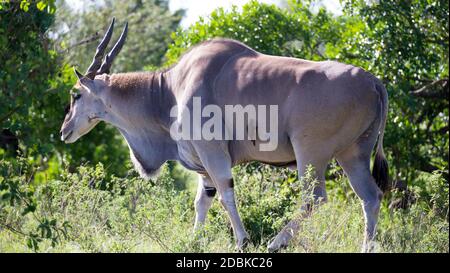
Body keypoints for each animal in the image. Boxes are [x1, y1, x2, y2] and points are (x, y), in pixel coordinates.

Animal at [60, 18, 390, 251]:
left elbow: (225, 194)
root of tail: (373, 81)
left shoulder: (212, 151)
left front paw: (242, 241)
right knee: (371, 198)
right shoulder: (202, 163)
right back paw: (366, 248)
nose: (64, 131)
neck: (168, 90)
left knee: (315, 198)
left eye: (75, 95)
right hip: (353, 154)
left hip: (311, 154)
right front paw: (194, 240)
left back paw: (276, 242)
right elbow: (202, 200)